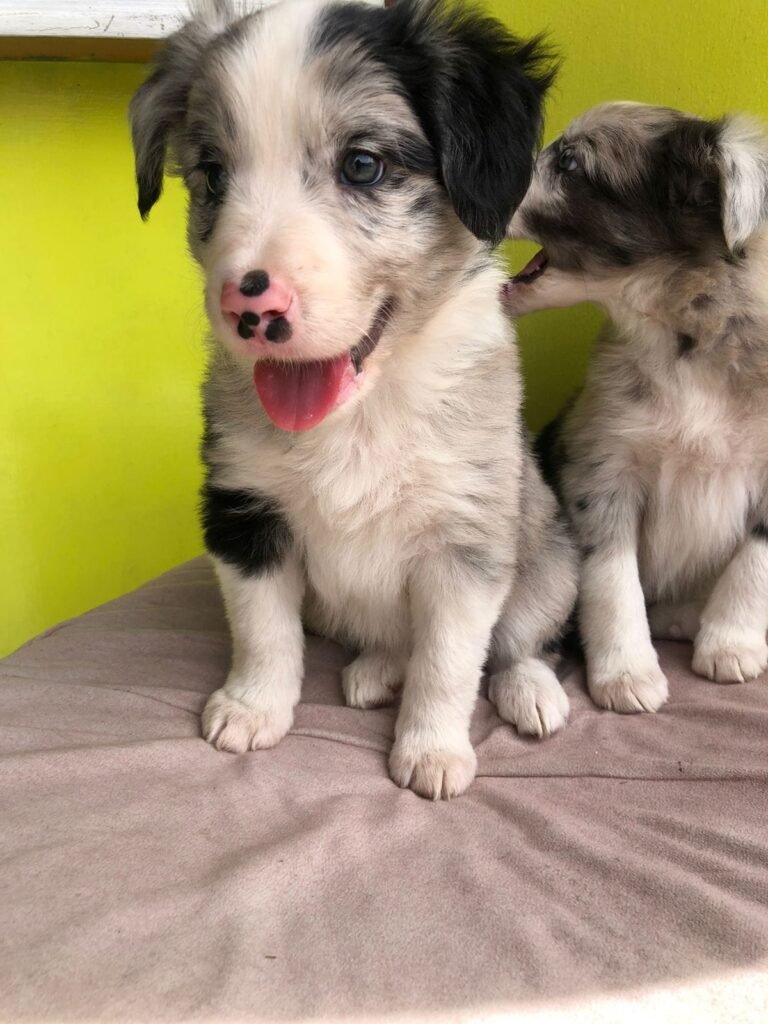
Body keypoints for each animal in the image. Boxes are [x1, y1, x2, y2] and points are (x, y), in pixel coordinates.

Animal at [131, 0, 577, 798]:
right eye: (213, 173)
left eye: (363, 165)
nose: (250, 306)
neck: (359, 415)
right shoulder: (245, 512)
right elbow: (263, 629)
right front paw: (252, 708)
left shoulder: (466, 539)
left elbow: (450, 660)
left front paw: (432, 750)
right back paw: (376, 671)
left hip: (549, 555)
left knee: (520, 641)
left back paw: (529, 690)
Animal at [505, 101, 768, 712]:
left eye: (570, 163)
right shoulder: (601, 471)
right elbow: (611, 578)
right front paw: (626, 672)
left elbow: (755, 563)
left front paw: (732, 644)